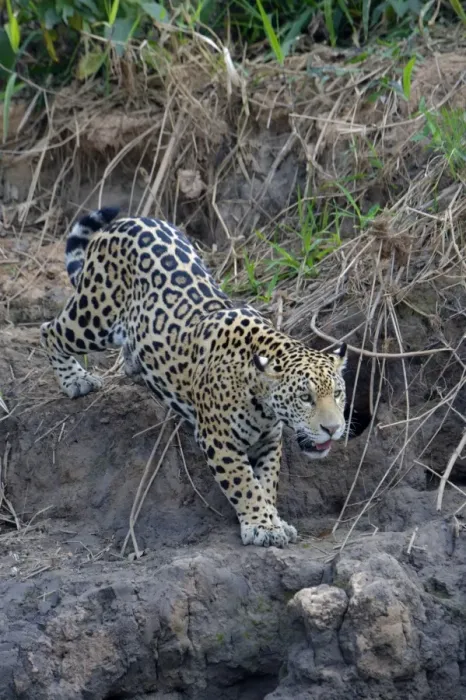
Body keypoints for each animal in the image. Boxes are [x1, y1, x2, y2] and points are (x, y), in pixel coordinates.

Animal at [41, 206, 358, 548]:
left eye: (337, 393)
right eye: (305, 398)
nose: (333, 429)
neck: (260, 394)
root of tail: (130, 220)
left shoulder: (269, 440)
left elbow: (267, 481)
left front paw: (273, 519)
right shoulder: (218, 439)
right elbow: (245, 484)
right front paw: (262, 525)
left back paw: (134, 363)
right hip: (95, 315)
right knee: (51, 330)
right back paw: (74, 380)